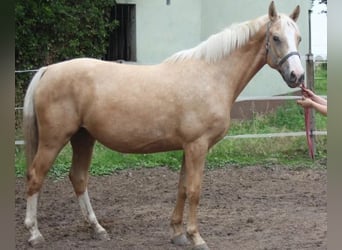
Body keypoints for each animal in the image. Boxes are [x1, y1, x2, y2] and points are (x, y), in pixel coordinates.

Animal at [22, 1, 304, 248]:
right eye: (276, 38)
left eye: (299, 38)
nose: (297, 76)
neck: (211, 75)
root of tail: (48, 70)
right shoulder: (197, 146)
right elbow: (194, 190)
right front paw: (196, 237)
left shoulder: (188, 148)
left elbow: (182, 188)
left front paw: (178, 234)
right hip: (54, 140)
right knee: (36, 177)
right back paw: (34, 234)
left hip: (83, 137)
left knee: (78, 178)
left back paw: (97, 229)